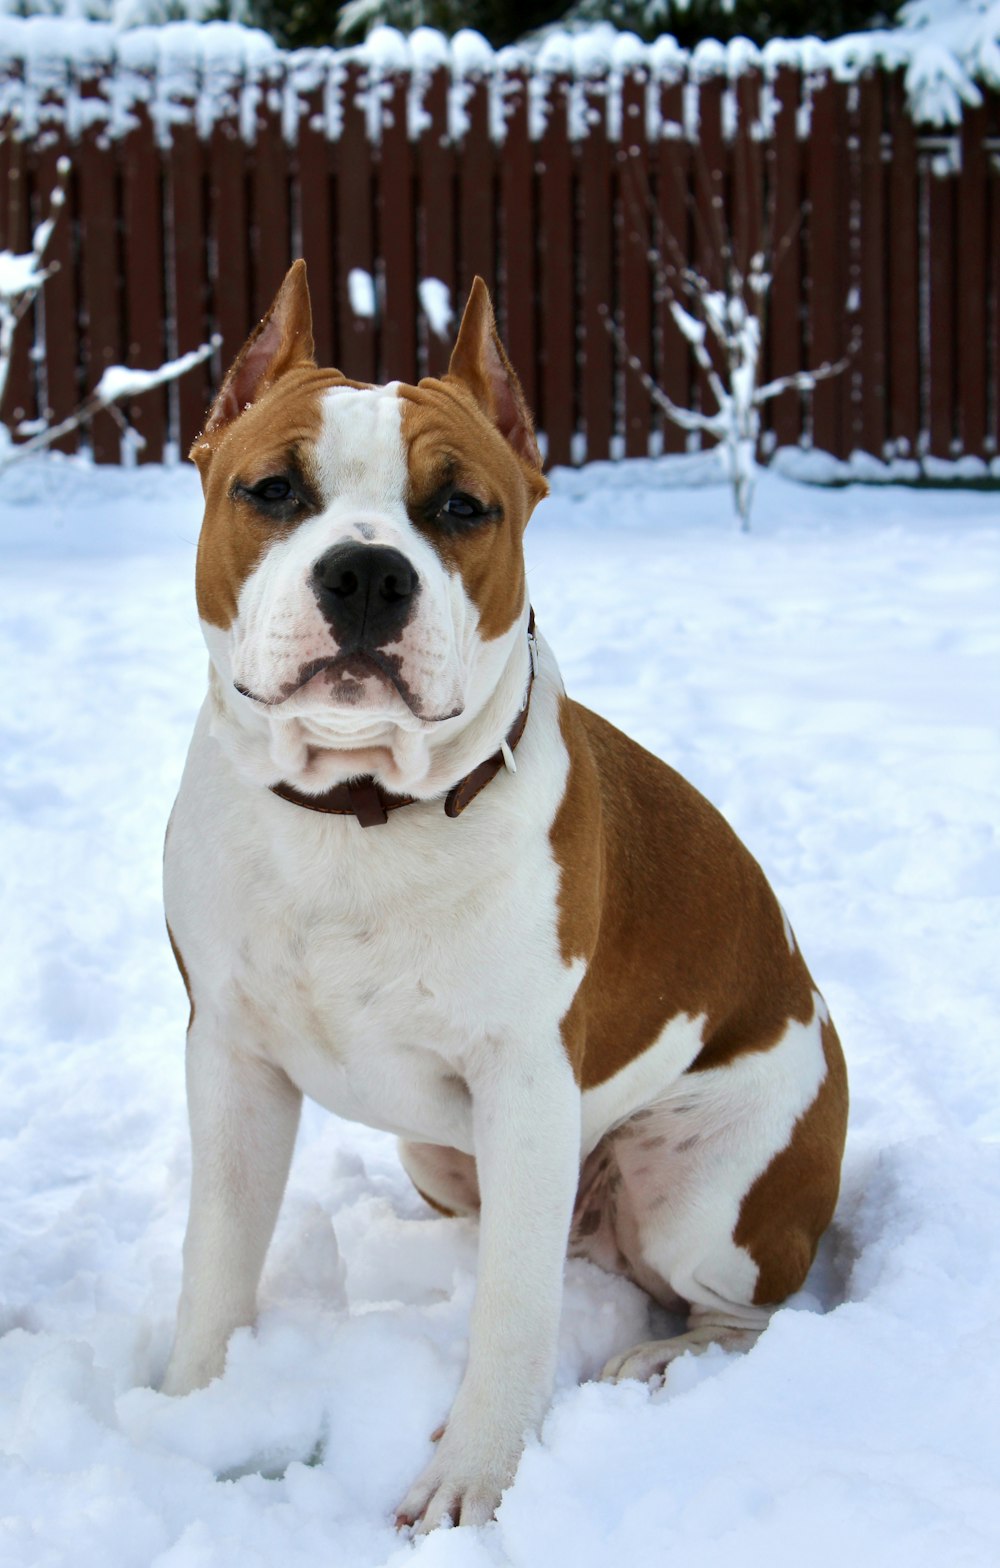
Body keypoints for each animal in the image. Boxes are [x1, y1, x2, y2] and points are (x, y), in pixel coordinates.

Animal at [163, 260, 846, 1530]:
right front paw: (184, 1414)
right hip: (442, 1157)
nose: (366, 571)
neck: (357, 808)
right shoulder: (230, 1056)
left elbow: (514, 1319)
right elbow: (216, 1262)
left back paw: (655, 1361)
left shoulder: (527, 1083)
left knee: (735, 1310)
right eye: (271, 488)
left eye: (462, 508)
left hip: (701, 1196)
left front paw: (473, 1477)